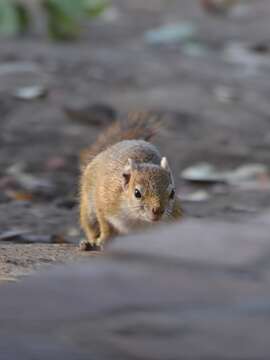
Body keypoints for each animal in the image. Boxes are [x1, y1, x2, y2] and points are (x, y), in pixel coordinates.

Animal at [79, 112, 182, 250]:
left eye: (172, 193)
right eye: (137, 193)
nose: (158, 211)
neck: (138, 220)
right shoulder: (104, 200)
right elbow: (105, 225)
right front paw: (104, 240)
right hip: (88, 213)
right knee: (91, 229)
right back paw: (88, 243)